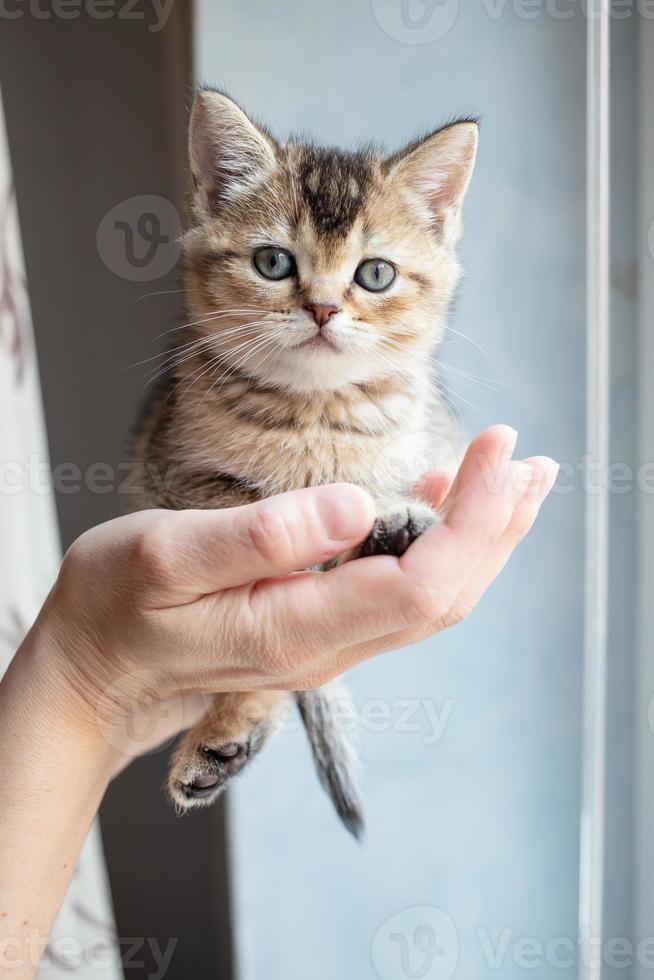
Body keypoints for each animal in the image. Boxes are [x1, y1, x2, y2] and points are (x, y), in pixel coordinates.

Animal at [136, 90, 480, 836]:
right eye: (273, 263)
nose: (322, 308)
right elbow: (258, 503)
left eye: (375, 274)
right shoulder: (176, 477)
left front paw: (390, 517)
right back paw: (221, 742)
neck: (313, 413)